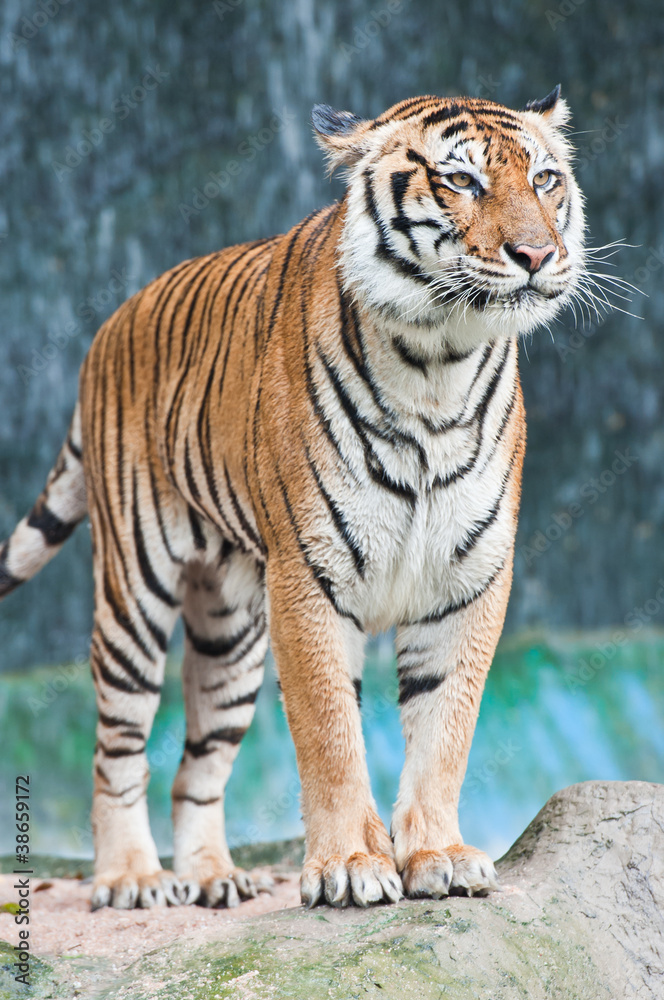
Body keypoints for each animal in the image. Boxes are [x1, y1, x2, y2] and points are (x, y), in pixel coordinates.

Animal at [0, 86, 586, 910]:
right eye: (462, 181)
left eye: (544, 180)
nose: (537, 256)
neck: (438, 364)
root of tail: (110, 324)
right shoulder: (310, 575)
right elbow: (330, 731)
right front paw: (350, 866)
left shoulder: (467, 579)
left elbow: (445, 729)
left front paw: (438, 856)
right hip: (133, 596)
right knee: (116, 751)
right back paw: (133, 877)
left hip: (231, 634)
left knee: (196, 768)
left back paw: (213, 876)